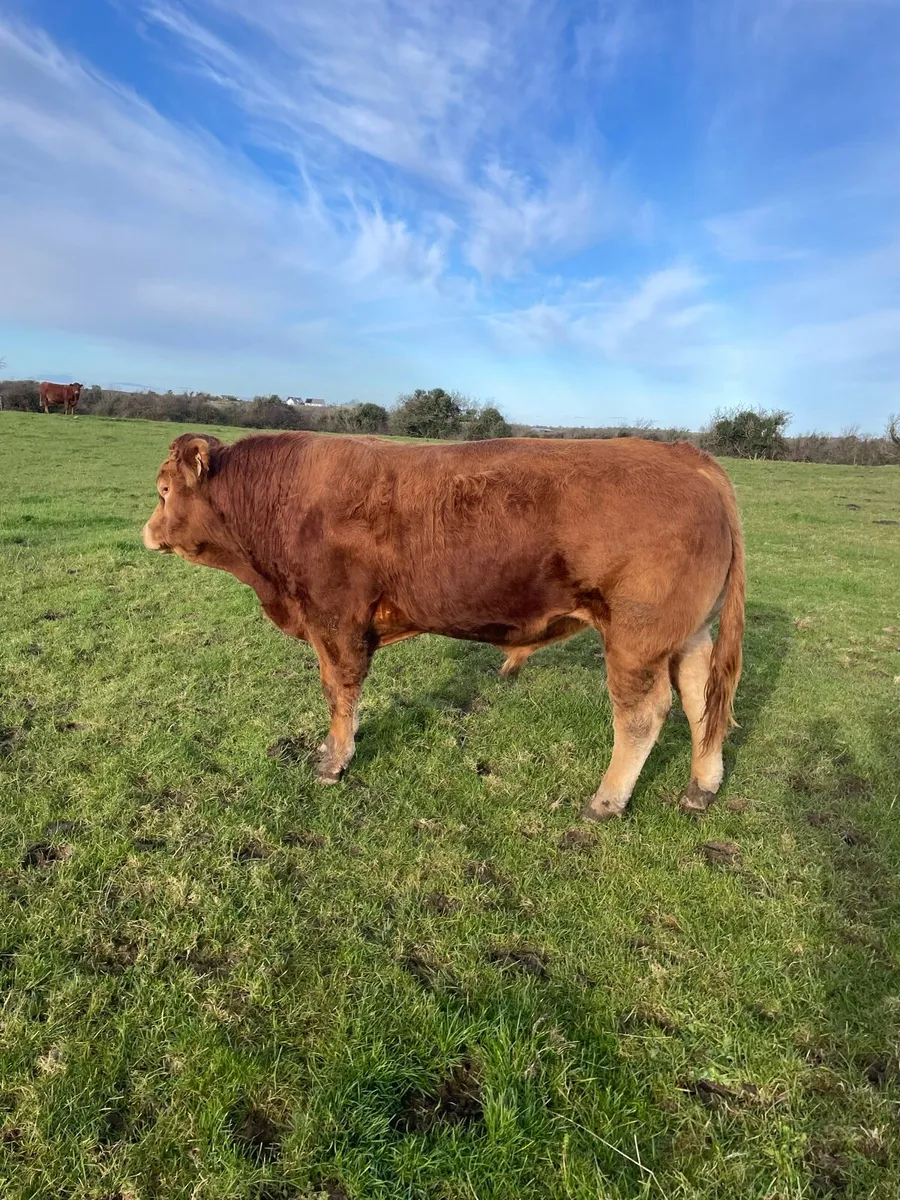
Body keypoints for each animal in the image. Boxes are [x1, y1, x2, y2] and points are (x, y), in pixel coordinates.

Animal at [142, 432, 745, 820]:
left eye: (164, 491)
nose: (148, 532)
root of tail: (688, 457)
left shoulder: (334, 620)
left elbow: (339, 692)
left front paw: (333, 761)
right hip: (688, 634)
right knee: (701, 699)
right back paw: (701, 787)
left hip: (635, 639)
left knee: (643, 715)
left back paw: (605, 801)